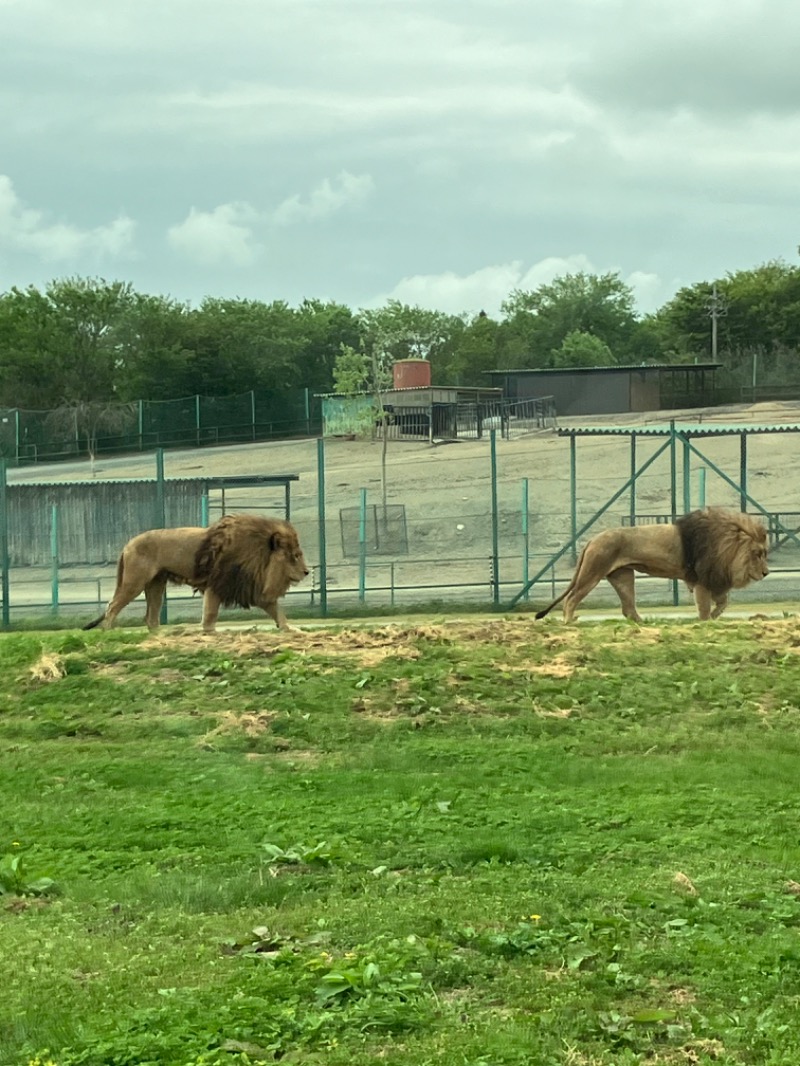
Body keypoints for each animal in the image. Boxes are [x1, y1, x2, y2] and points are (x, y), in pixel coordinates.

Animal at [81, 513, 307, 631]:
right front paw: (208, 632)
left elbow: (277, 611)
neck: (260, 557)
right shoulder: (218, 583)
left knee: (151, 617)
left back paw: (159, 636)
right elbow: (210, 613)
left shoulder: (251, 587)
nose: (306, 572)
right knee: (112, 607)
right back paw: (109, 632)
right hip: (134, 582)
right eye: (295, 556)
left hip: (156, 584)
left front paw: (290, 629)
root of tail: (127, 545)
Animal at [535, 507, 772, 622]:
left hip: (623, 576)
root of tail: (592, 539)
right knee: (571, 599)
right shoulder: (702, 579)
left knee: (628, 608)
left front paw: (714, 619)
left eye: (765, 553)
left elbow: (723, 604)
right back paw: (569, 622)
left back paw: (644, 624)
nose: (766, 573)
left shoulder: (715, 579)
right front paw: (705, 622)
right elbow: (705, 606)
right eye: (757, 553)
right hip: (593, 572)